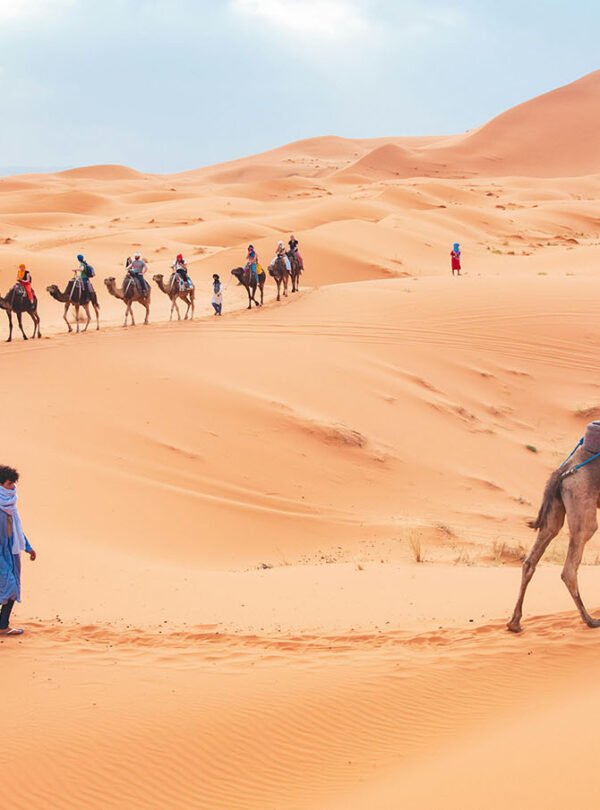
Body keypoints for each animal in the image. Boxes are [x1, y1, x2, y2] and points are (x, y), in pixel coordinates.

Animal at [508, 426, 600, 632]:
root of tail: (562, 471)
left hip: (555, 511)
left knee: (531, 559)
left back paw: (514, 623)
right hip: (582, 505)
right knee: (570, 569)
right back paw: (591, 620)